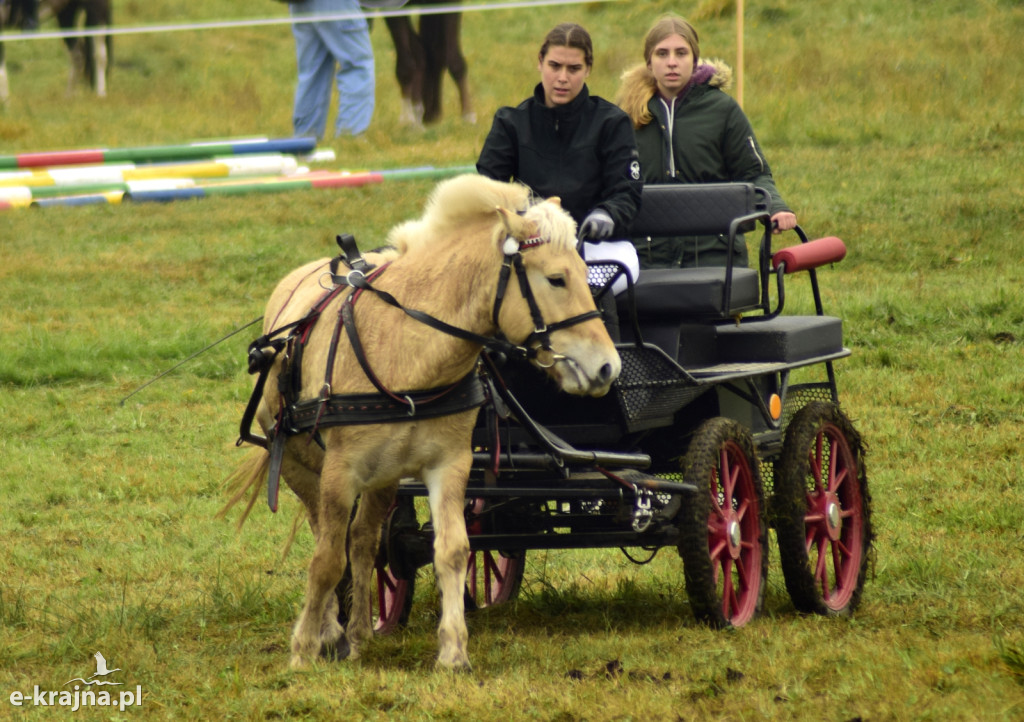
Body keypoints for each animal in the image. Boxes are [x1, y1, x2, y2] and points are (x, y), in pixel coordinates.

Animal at [228, 174, 618, 671]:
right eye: (556, 278)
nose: (608, 367)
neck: (410, 353)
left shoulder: (448, 464)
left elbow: (452, 550)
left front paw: (453, 651)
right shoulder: (339, 472)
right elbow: (326, 560)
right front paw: (302, 649)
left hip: (384, 478)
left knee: (364, 542)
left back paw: (358, 633)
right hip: (302, 468)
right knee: (327, 539)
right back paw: (331, 631)